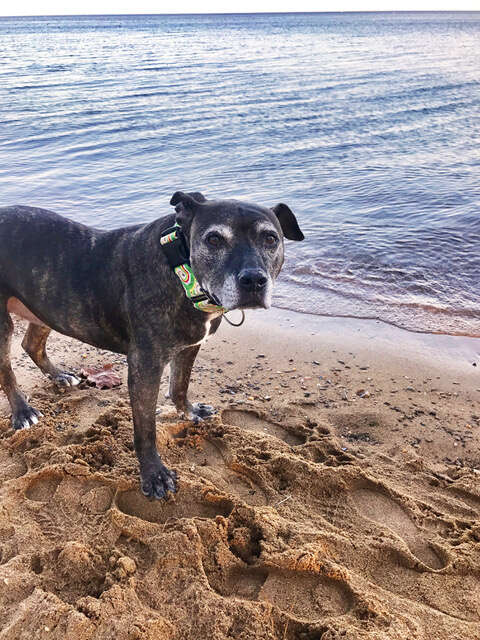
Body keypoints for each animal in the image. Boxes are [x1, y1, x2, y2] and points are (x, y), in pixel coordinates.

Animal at [0, 194, 304, 500]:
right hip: (4, 324)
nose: (253, 280)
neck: (181, 271)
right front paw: (154, 473)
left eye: (270, 238)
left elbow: (180, 385)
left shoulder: (189, 347)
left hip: (48, 306)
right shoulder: (145, 366)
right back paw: (22, 411)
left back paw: (59, 375)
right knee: (7, 370)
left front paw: (190, 411)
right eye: (214, 239)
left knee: (32, 344)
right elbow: (146, 428)